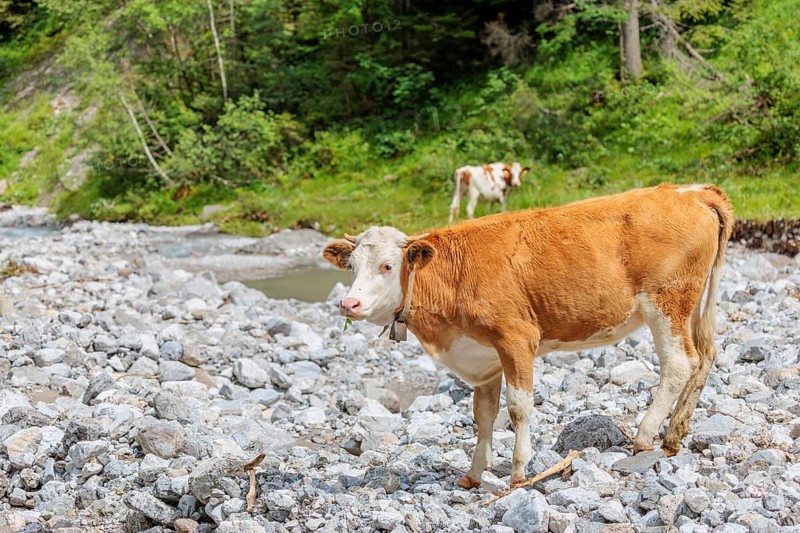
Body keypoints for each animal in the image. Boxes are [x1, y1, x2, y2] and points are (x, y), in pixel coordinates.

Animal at [323, 184, 733, 489]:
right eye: (352, 266)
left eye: (387, 266)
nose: (349, 303)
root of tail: (692, 191)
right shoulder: (483, 357)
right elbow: (483, 415)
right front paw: (474, 475)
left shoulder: (517, 338)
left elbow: (518, 408)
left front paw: (519, 472)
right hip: (692, 305)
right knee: (706, 354)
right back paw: (674, 435)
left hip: (666, 304)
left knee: (679, 363)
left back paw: (646, 436)